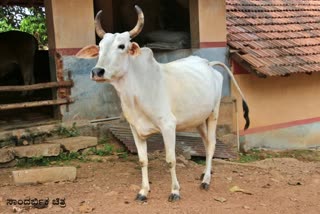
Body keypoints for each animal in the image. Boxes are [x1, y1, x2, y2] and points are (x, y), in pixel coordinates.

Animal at [76, 5, 249, 202]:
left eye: (122, 46)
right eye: (100, 47)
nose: (97, 71)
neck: (136, 92)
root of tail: (208, 63)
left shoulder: (168, 126)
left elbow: (170, 160)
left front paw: (175, 191)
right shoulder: (135, 128)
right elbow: (143, 160)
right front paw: (143, 191)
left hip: (214, 113)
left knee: (212, 143)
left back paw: (206, 180)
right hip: (198, 120)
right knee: (206, 143)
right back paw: (206, 173)